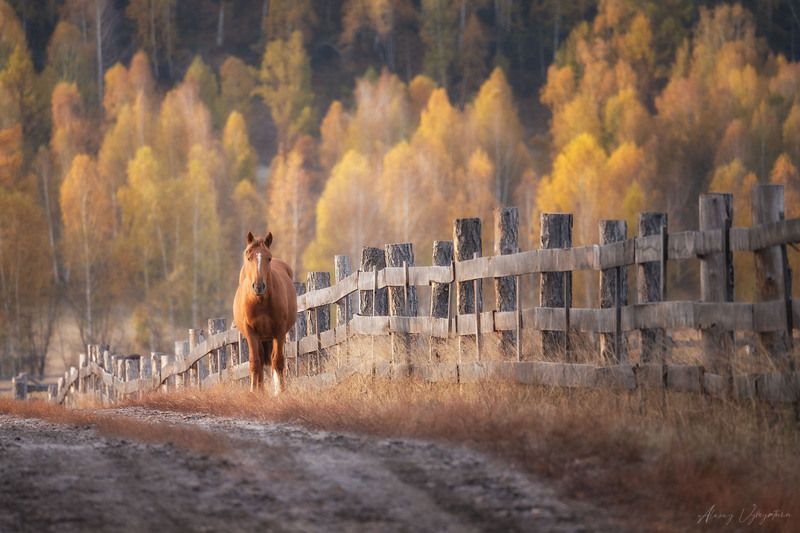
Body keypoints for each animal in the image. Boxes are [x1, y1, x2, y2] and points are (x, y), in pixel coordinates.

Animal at [233, 231, 297, 394]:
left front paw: (281, 392)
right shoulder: (251, 332)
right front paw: (254, 392)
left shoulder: (279, 331)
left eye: (268, 258)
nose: (259, 286)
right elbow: (255, 362)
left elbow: (278, 361)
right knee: (260, 360)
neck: (260, 302)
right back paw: (259, 389)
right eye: (249, 257)